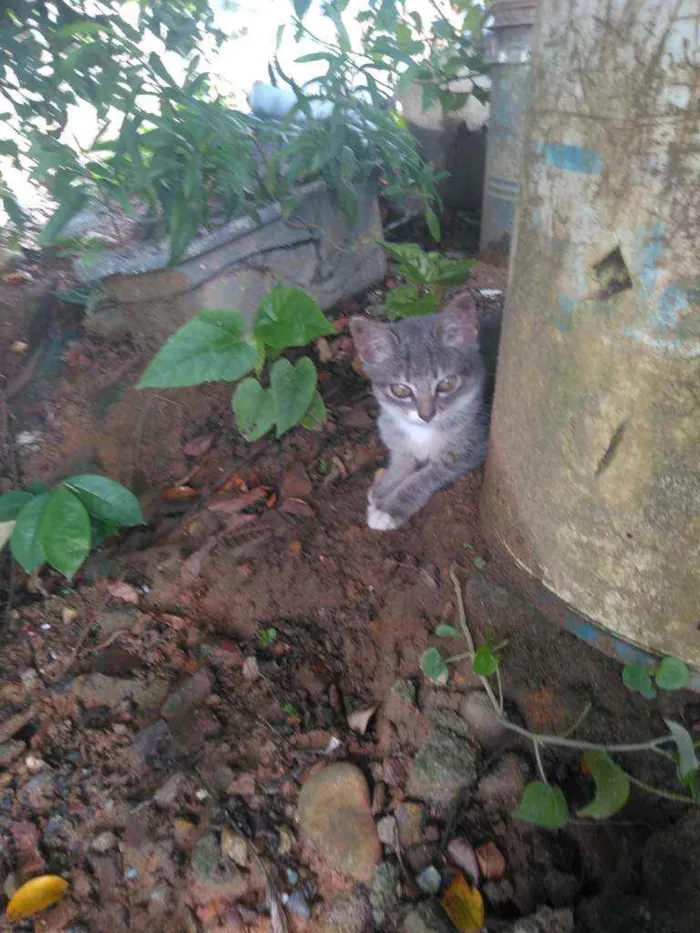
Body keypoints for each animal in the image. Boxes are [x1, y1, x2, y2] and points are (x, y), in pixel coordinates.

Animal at [348, 298, 486, 532]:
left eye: (446, 383)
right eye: (401, 390)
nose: (426, 415)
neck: (423, 432)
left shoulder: (468, 449)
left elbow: (422, 478)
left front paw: (389, 508)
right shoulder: (395, 436)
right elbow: (402, 460)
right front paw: (384, 487)